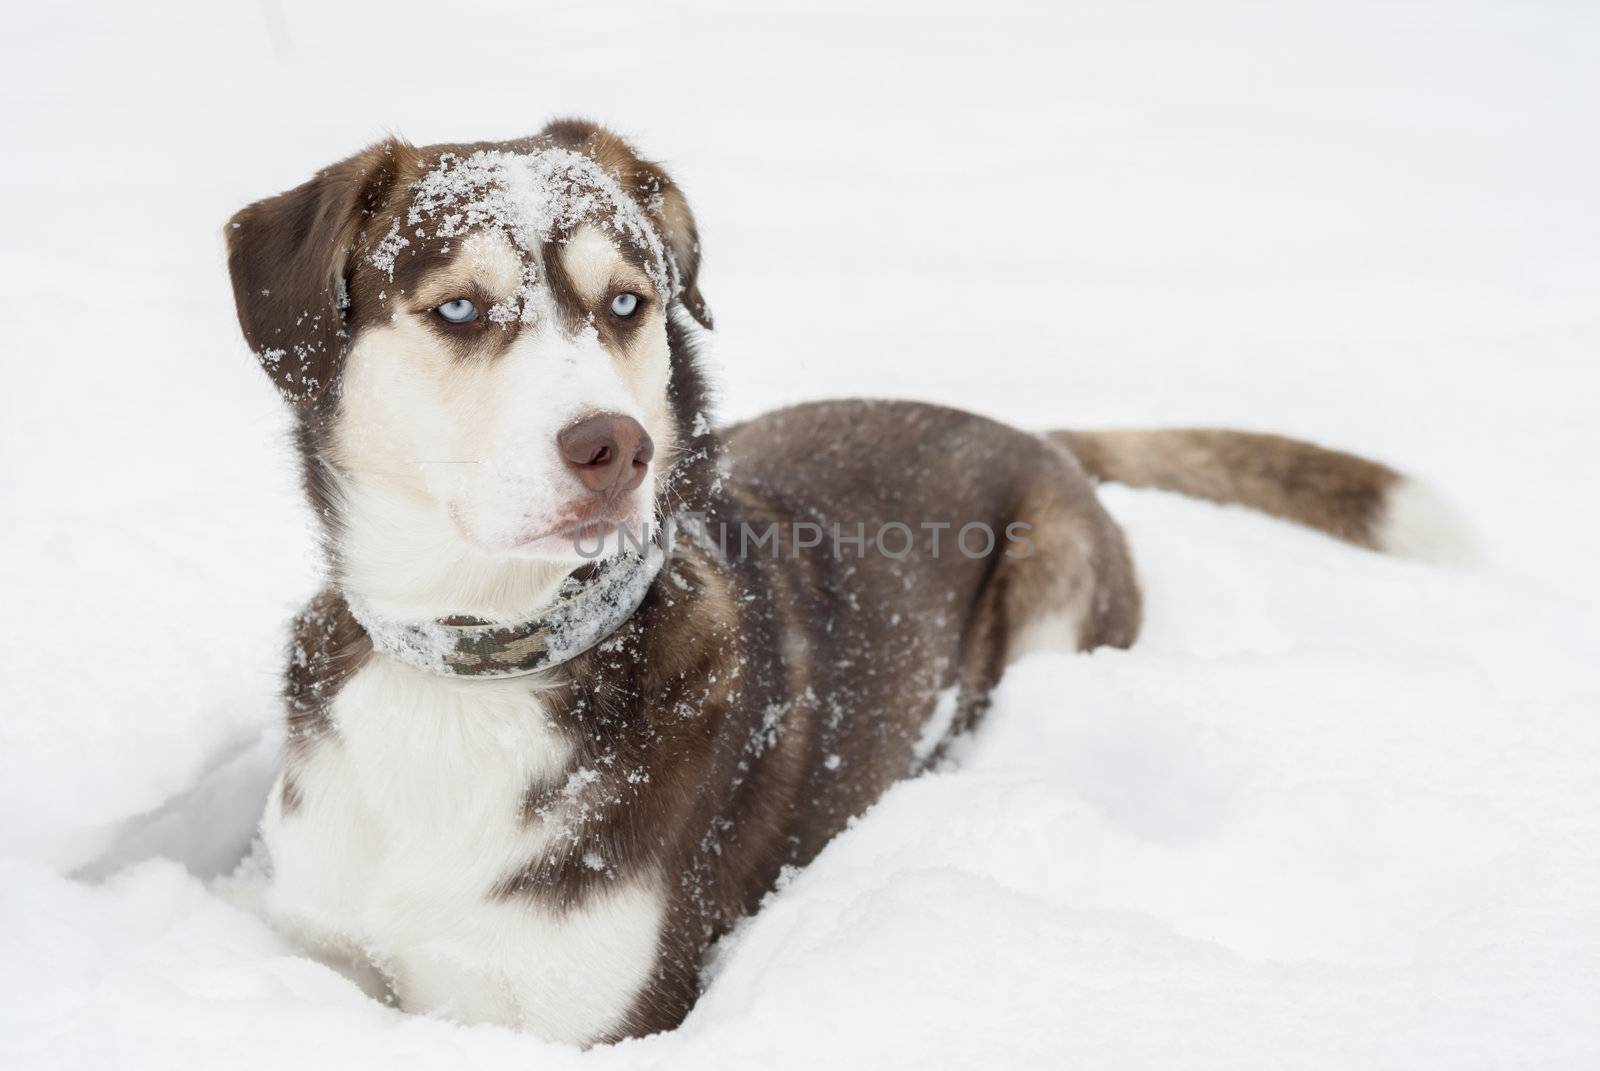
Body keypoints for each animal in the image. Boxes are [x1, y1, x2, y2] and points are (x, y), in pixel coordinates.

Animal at [225, 119, 1465, 1043]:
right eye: (460, 309)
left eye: (626, 301)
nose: (617, 448)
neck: (474, 667)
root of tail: (1033, 430)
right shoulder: (318, 944)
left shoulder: (591, 1017)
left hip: (1053, 578)